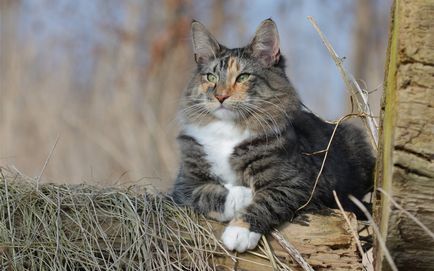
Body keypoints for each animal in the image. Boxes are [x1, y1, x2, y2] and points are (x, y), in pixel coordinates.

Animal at [171, 18, 374, 253]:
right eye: (211, 77)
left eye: (243, 77)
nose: (220, 96)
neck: (227, 129)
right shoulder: (184, 184)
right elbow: (207, 192)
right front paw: (242, 195)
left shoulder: (297, 182)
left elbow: (267, 200)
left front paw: (239, 231)